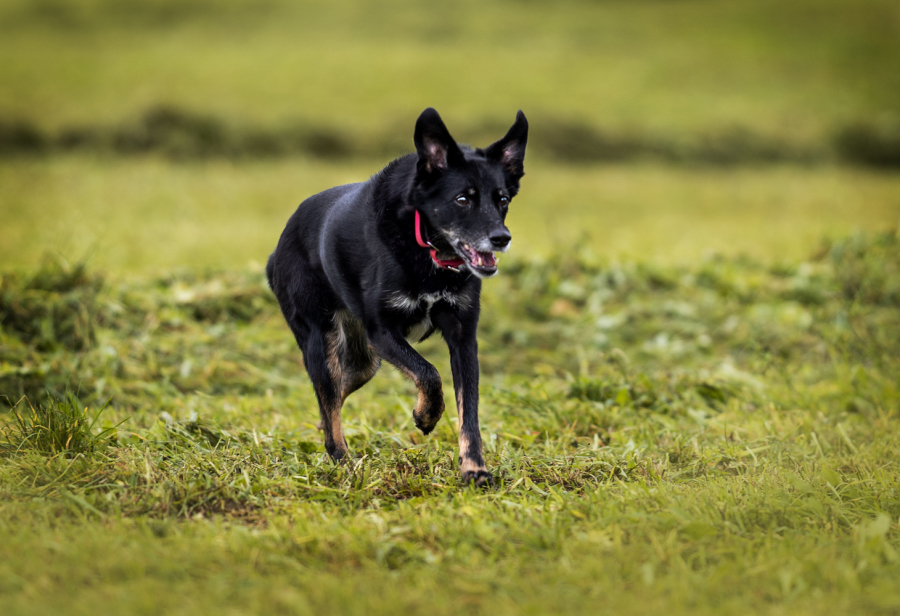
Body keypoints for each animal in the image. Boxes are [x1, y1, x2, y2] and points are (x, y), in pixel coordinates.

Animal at [266, 108, 527, 486]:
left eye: (502, 200)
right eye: (463, 199)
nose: (501, 238)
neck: (429, 251)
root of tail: (279, 244)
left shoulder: (463, 337)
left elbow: (470, 410)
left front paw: (474, 469)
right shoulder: (383, 331)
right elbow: (429, 373)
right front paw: (426, 415)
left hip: (364, 361)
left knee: (333, 399)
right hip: (323, 341)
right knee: (329, 403)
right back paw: (345, 464)